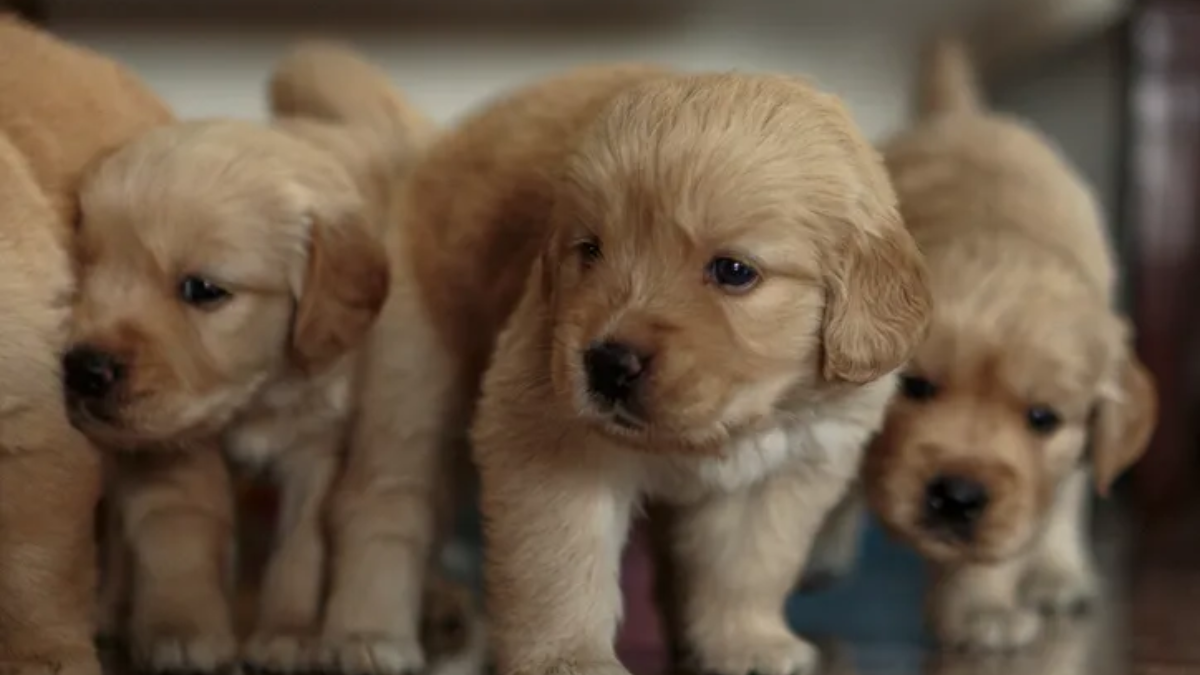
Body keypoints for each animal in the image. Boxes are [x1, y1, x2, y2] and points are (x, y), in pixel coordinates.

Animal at [64, 44, 446, 667]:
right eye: (85, 271)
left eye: (202, 289)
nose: (83, 371)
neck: (256, 396)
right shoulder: (166, 445)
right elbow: (178, 535)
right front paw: (181, 629)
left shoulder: (319, 447)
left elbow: (300, 550)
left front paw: (288, 633)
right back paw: (110, 610)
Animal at [374, 64, 936, 672]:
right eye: (590, 249)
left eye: (734, 271)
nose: (607, 364)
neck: (712, 435)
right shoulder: (546, 440)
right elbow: (557, 565)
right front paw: (568, 658)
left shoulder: (785, 473)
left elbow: (748, 570)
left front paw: (747, 643)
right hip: (410, 380)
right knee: (382, 517)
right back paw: (370, 634)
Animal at [868, 39, 1156, 648]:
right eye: (915, 387)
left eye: (1042, 418)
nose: (957, 497)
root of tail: (962, 114)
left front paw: (980, 609)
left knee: (1069, 497)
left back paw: (1057, 574)